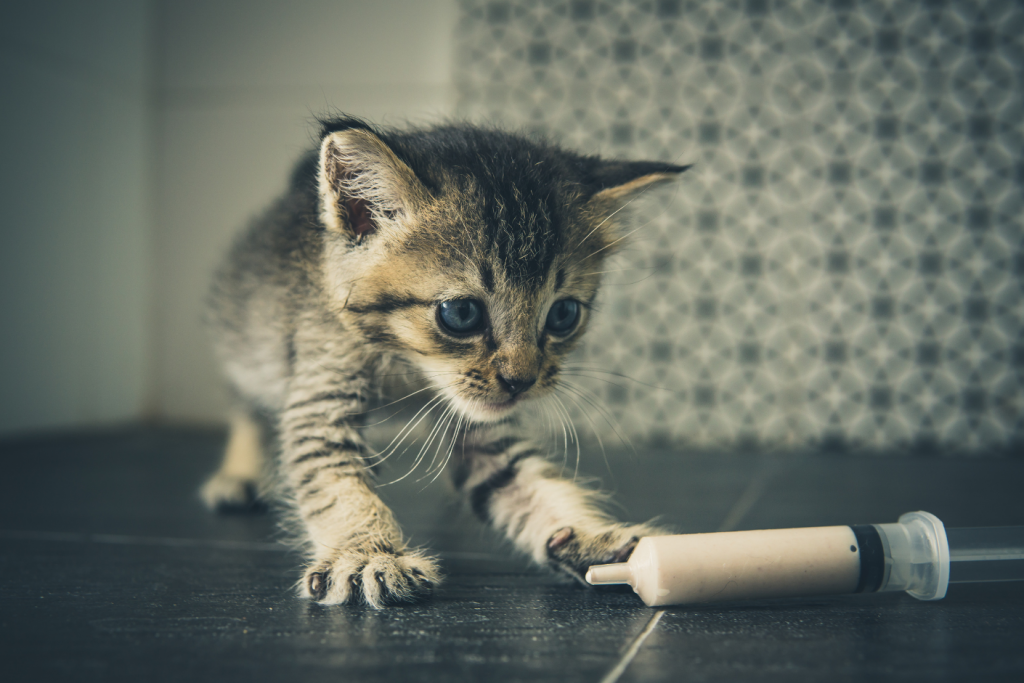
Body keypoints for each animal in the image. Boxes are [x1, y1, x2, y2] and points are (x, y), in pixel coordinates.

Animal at [199, 117, 688, 610]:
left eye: (563, 314)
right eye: (461, 313)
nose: (522, 380)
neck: (407, 370)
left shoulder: (483, 429)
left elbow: (525, 480)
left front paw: (585, 537)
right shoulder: (322, 387)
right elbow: (334, 480)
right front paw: (366, 554)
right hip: (248, 341)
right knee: (246, 404)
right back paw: (238, 474)